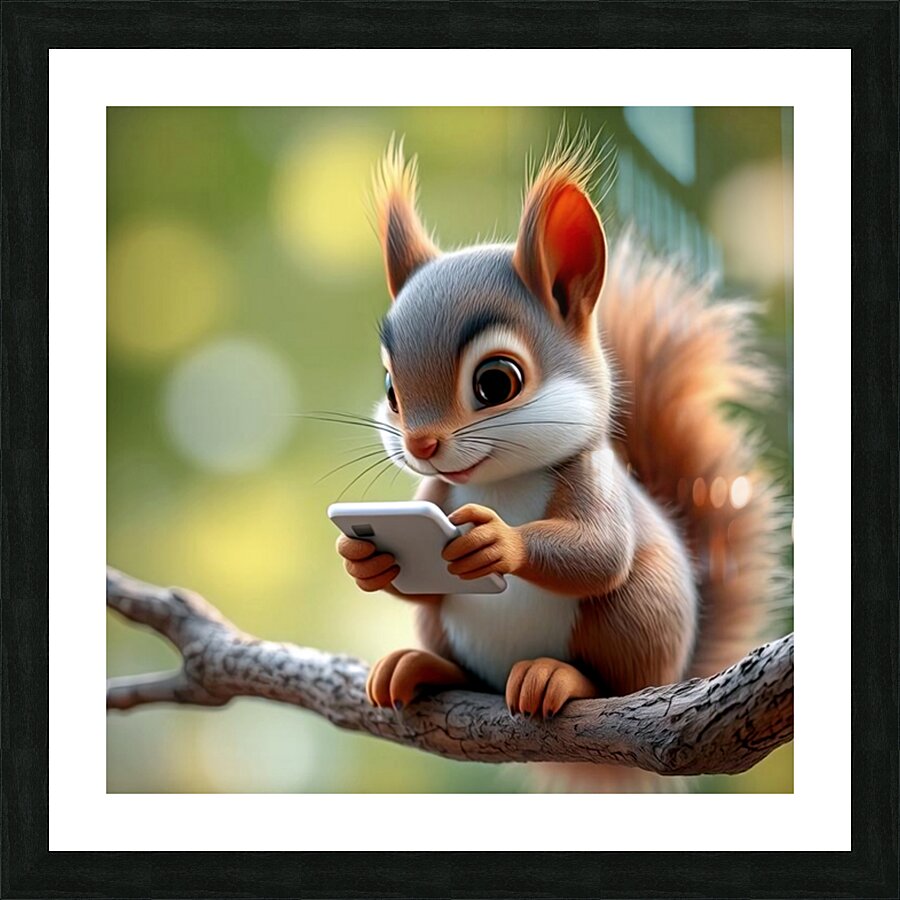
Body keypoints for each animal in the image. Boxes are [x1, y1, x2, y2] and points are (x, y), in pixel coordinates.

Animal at [336, 130, 782, 727]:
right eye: (391, 390)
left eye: (496, 382)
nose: (421, 444)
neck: (500, 481)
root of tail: (678, 670)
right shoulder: (435, 491)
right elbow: (417, 585)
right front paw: (364, 560)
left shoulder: (593, 476)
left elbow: (600, 552)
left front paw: (499, 542)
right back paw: (420, 667)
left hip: (638, 615)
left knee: (615, 678)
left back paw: (556, 677)